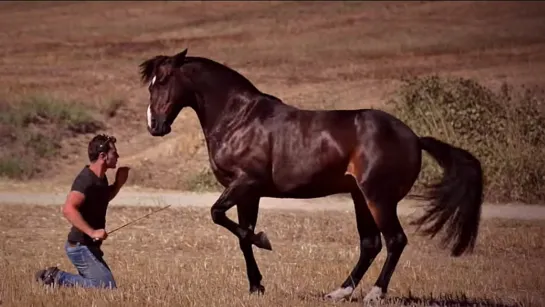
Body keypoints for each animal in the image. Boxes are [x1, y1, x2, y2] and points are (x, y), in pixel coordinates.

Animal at [138, 49, 482, 304]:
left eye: (164, 80)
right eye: (150, 84)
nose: (155, 126)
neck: (239, 118)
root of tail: (414, 137)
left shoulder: (245, 183)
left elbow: (219, 216)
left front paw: (265, 242)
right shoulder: (249, 194)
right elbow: (242, 235)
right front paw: (256, 286)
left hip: (378, 197)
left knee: (395, 240)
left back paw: (374, 294)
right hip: (360, 197)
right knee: (370, 243)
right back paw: (338, 292)